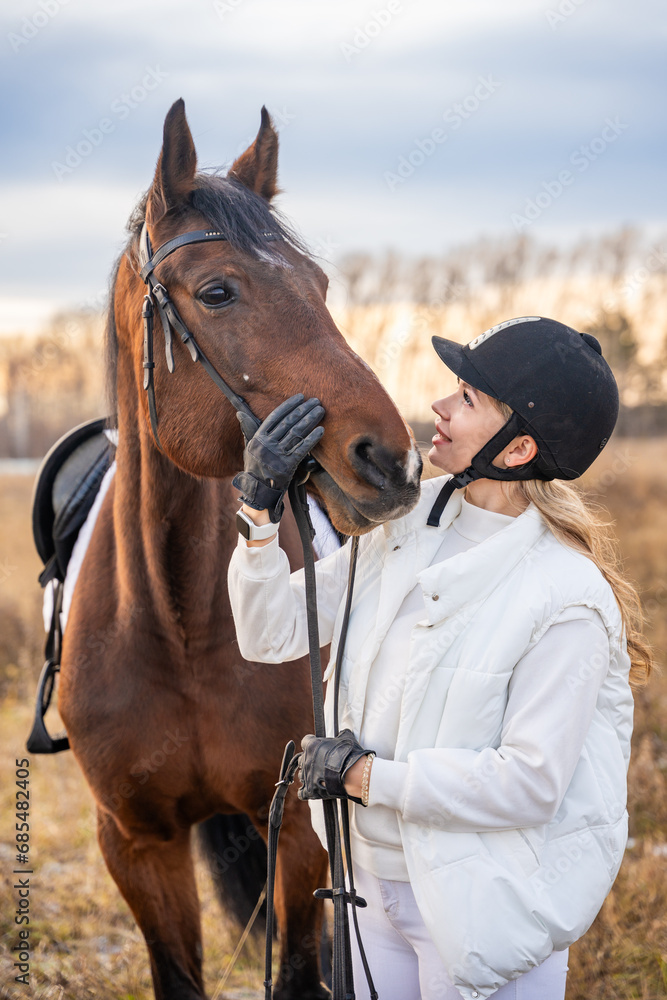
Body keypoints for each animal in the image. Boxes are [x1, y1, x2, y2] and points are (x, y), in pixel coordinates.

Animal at [58, 98, 422, 1000]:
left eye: (319, 287)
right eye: (217, 292)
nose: (389, 460)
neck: (178, 619)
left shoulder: (295, 825)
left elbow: (296, 973)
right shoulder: (136, 843)